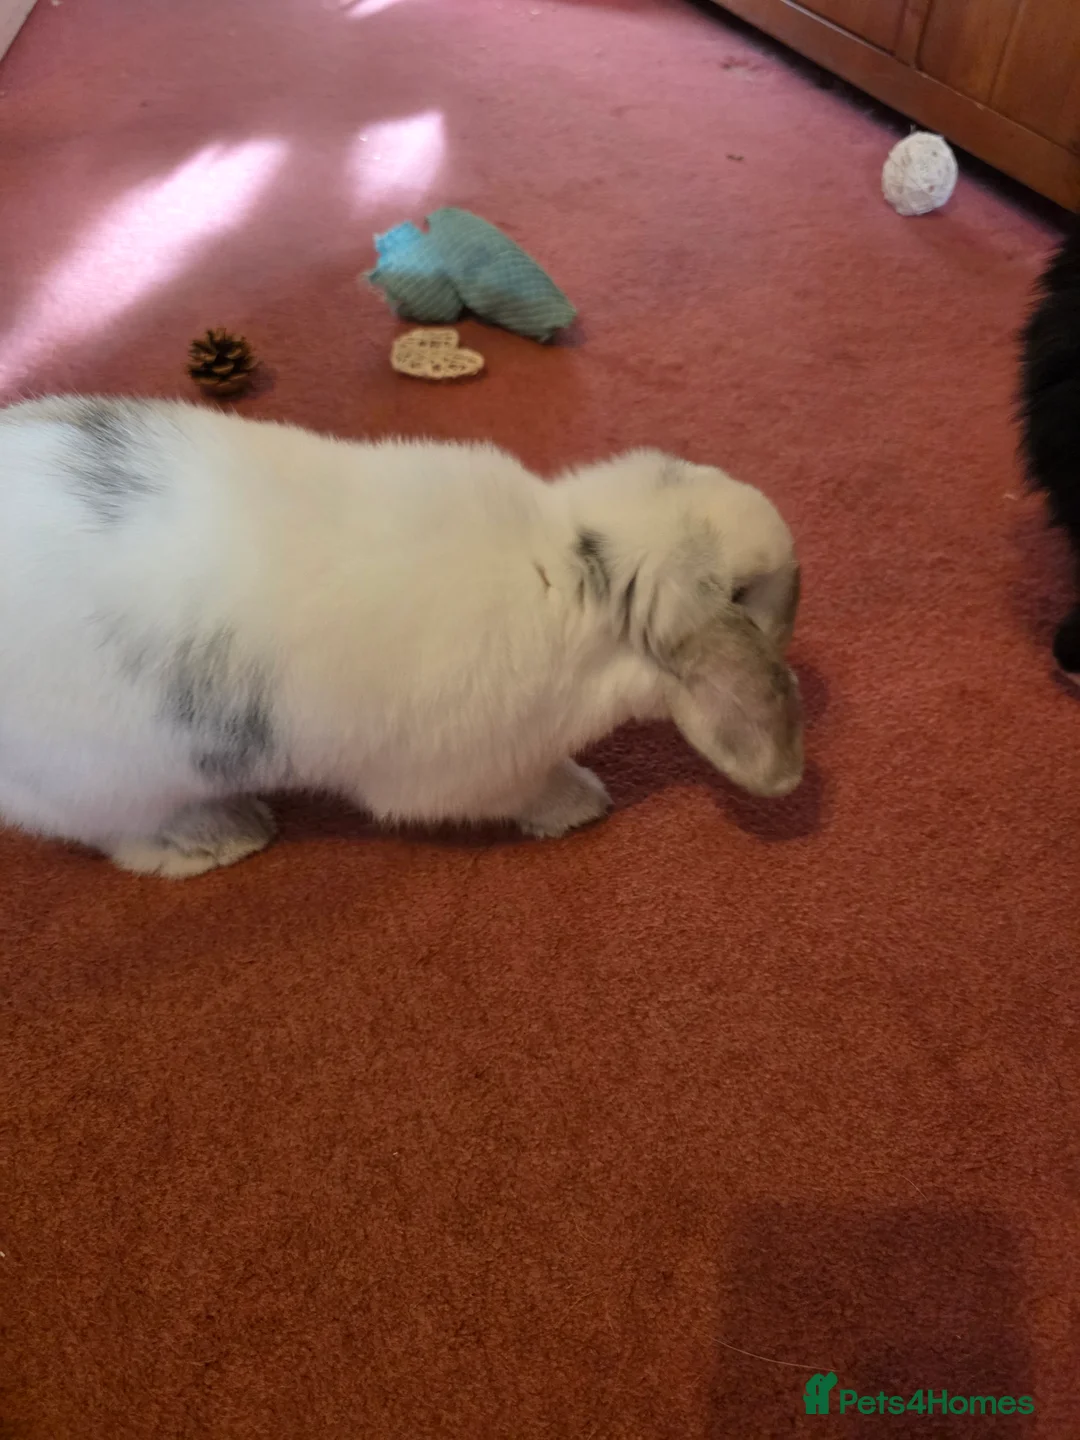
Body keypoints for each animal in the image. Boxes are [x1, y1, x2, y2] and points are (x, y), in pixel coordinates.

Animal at [0, 395, 803, 877]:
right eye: (753, 594)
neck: (582, 574)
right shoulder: (479, 770)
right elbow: (530, 789)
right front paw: (581, 803)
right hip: (112, 776)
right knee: (121, 834)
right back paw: (223, 835)